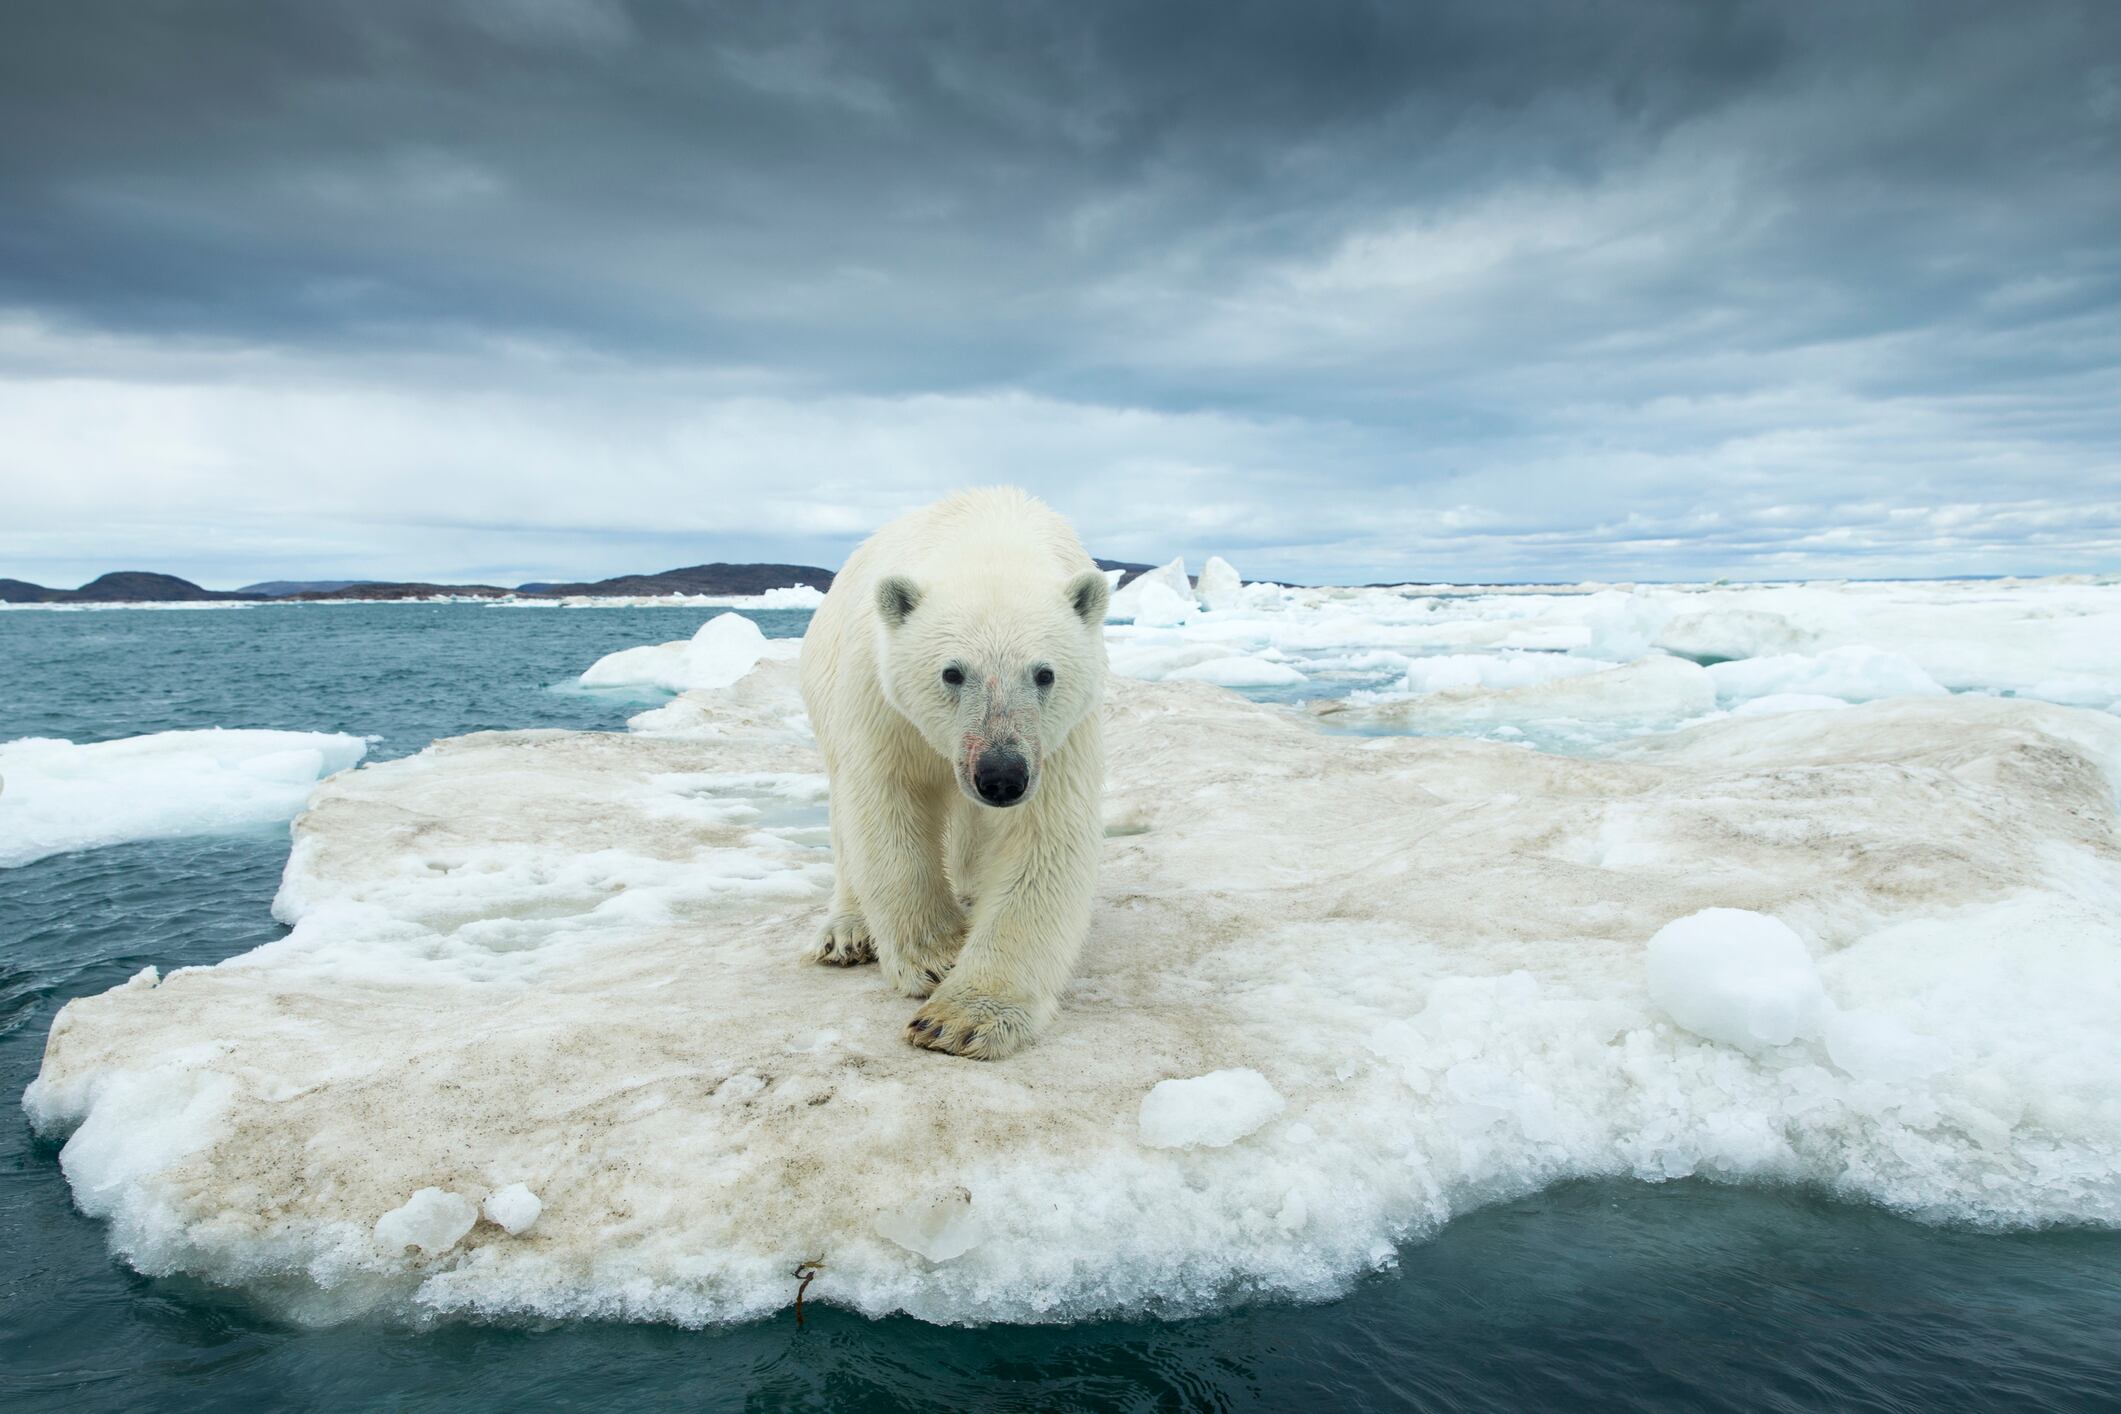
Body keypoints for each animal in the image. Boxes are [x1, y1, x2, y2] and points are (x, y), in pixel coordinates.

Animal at [798, 487, 1110, 1060]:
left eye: (1045, 673)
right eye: (951, 671)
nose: (1001, 775)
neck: (986, 534)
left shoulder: (1060, 739)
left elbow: (1042, 837)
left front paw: (964, 1018)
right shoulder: (881, 697)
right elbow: (887, 804)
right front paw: (935, 959)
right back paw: (847, 932)